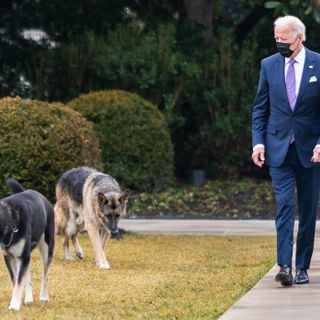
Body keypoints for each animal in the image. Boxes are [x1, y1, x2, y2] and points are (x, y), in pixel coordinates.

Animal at [0, 178, 54, 310]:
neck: (9, 218)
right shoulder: (10, 257)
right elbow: (16, 281)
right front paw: (16, 302)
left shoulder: (22, 257)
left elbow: (19, 282)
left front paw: (14, 306)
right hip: (26, 255)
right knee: (28, 278)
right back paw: (29, 299)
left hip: (46, 250)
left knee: (45, 275)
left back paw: (43, 297)